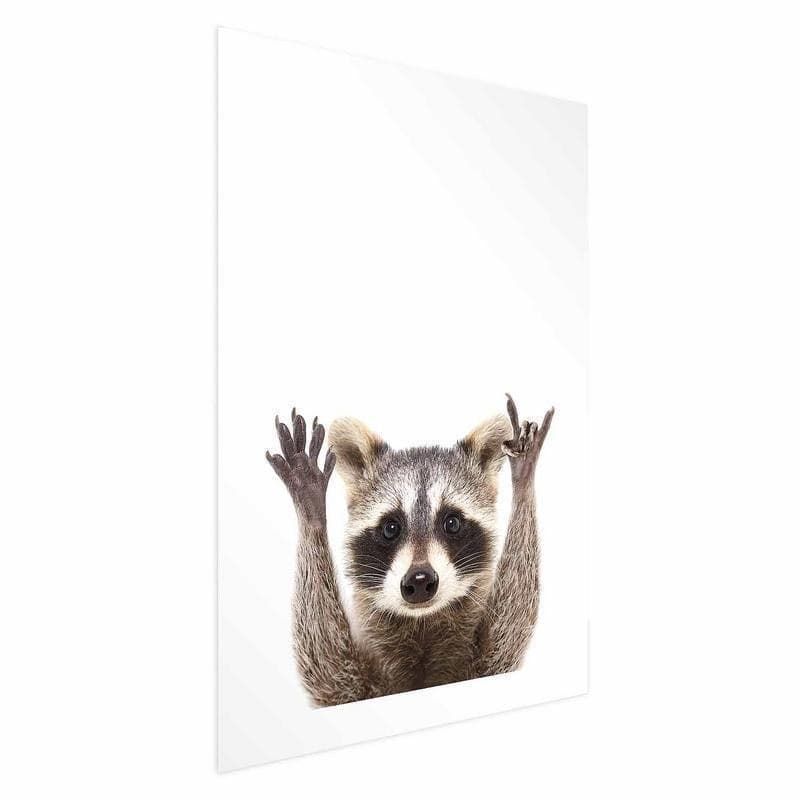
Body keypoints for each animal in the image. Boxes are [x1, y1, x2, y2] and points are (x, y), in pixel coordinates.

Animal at [265, 394, 553, 707]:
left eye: (452, 522)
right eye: (391, 527)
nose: (420, 580)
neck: (422, 623)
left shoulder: (487, 665)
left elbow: (510, 626)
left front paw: (523, 480)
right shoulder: (351, 686)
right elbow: (326, 666)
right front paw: (312, 511)